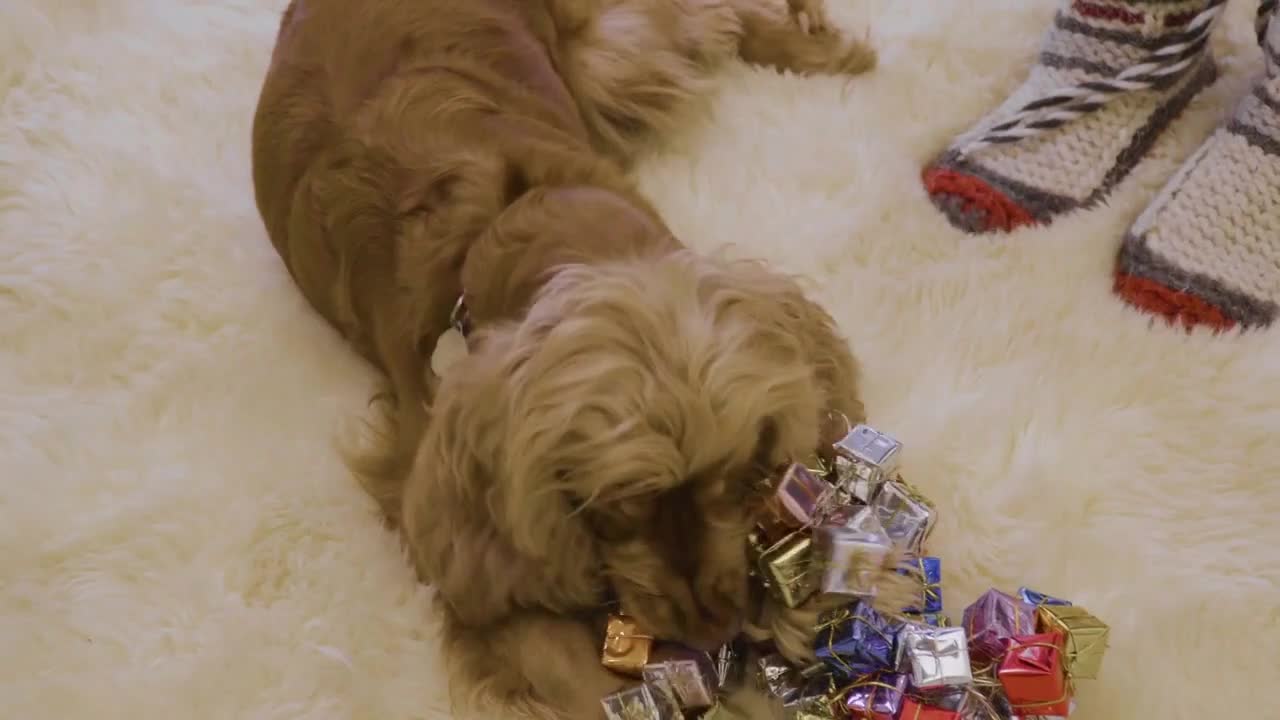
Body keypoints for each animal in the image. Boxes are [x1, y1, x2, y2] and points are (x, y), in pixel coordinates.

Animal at [247, 0, 890, 712]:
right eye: (613, 508)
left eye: (744, 475)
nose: (713, 629)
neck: (508, 224)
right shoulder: (448, 529)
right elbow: (566, 666)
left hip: (616, 54)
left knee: (717, 17)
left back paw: (829, 53)